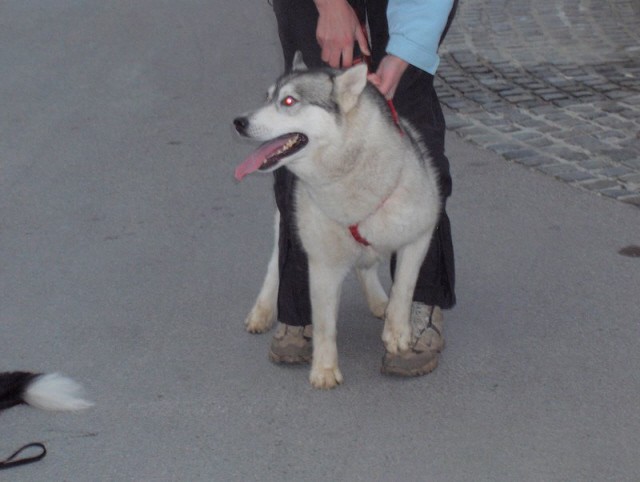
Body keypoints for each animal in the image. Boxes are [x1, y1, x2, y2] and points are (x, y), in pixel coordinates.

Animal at [234, 54, 440, 390]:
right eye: (266, 97)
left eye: (288, 101)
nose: (239, 122)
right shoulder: (322, 263)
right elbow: (324, 323)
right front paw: (325, 369)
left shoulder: (419, 234)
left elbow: (404, 287)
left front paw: (397, 331)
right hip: (288, 219)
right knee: (275, 264)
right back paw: (263, 311)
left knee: (365, 265)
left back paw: (378, 301)